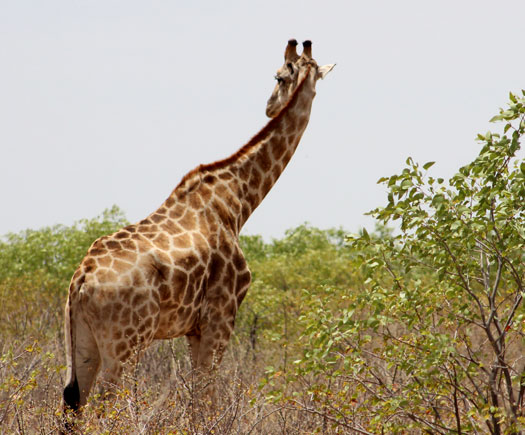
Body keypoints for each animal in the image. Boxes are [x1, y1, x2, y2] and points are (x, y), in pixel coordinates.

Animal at [61, 39, 332, 414]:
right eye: (277, 76)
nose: (269, 106)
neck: (237, 200)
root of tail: (81, 281)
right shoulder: (221, 316)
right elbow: (205, 400)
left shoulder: (193, 328)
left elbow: (197, 400)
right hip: (125, 344)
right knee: (106, 407)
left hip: (82, 343)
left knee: (73, 404)